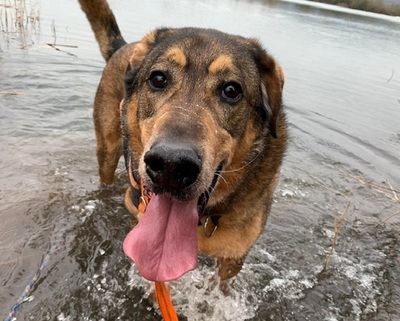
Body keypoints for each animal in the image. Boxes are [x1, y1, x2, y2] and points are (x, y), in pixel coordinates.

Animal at [78, 0, 288, 282]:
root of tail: (124, 45)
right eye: (158, 78)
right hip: (108, 150)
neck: (203, 218)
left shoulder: (233, 257)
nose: (170, 165)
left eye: (232, 90)